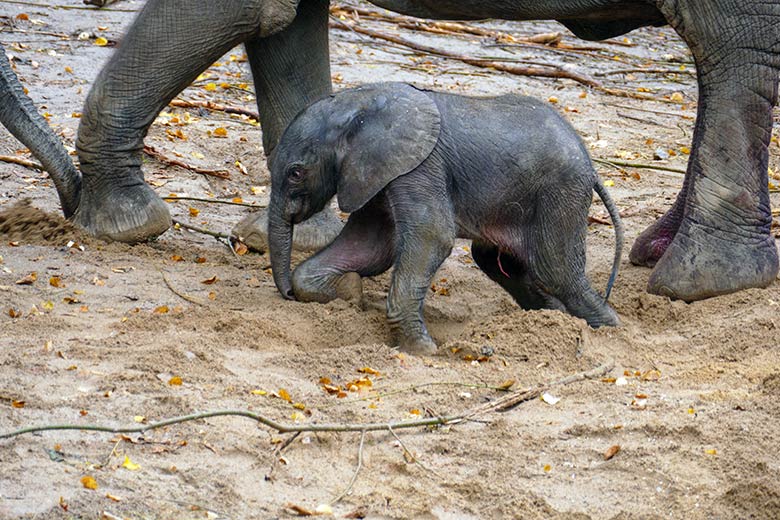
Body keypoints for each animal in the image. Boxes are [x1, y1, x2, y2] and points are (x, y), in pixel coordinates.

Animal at [62, 0, 780, 300]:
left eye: (296, 173)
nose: (284, 296)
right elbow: (285, 25)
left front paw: (124, 227)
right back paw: (656, 255)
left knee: (735, 48)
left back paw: (700, 283)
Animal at [266, 83, 620, 354]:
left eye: (295, 173)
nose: (286, 297)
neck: (357, 104)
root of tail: (591, 164)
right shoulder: (377, 173)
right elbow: (370, 247)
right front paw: (351, 292)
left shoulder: (419, 165)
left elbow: (432, 235)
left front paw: (422, 350)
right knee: (496, 261)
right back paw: (554, 319)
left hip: (560, 190)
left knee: (555, 269)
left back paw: (612, 331)